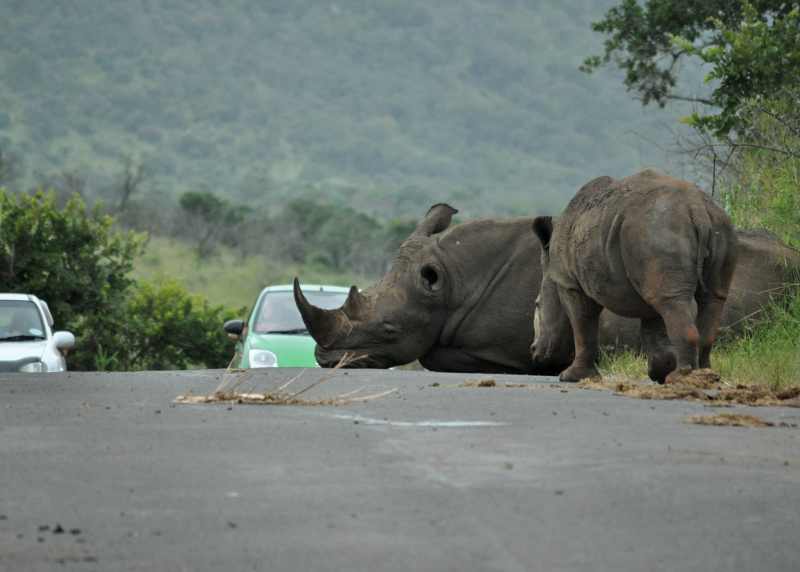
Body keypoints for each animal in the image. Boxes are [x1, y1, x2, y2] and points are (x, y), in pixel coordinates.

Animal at [531, 171, 739, 382]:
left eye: (537, 304)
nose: (534, 351)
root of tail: (697, 209)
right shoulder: (645, 278)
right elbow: (653, 329)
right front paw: (659, 373)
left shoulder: (569, 282)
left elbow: (582, 324)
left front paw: (571, 377)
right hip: (713, 226)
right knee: (710, 298)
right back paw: (705, 376)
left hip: (658, 229)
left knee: (673, 301)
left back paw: (680, 377)